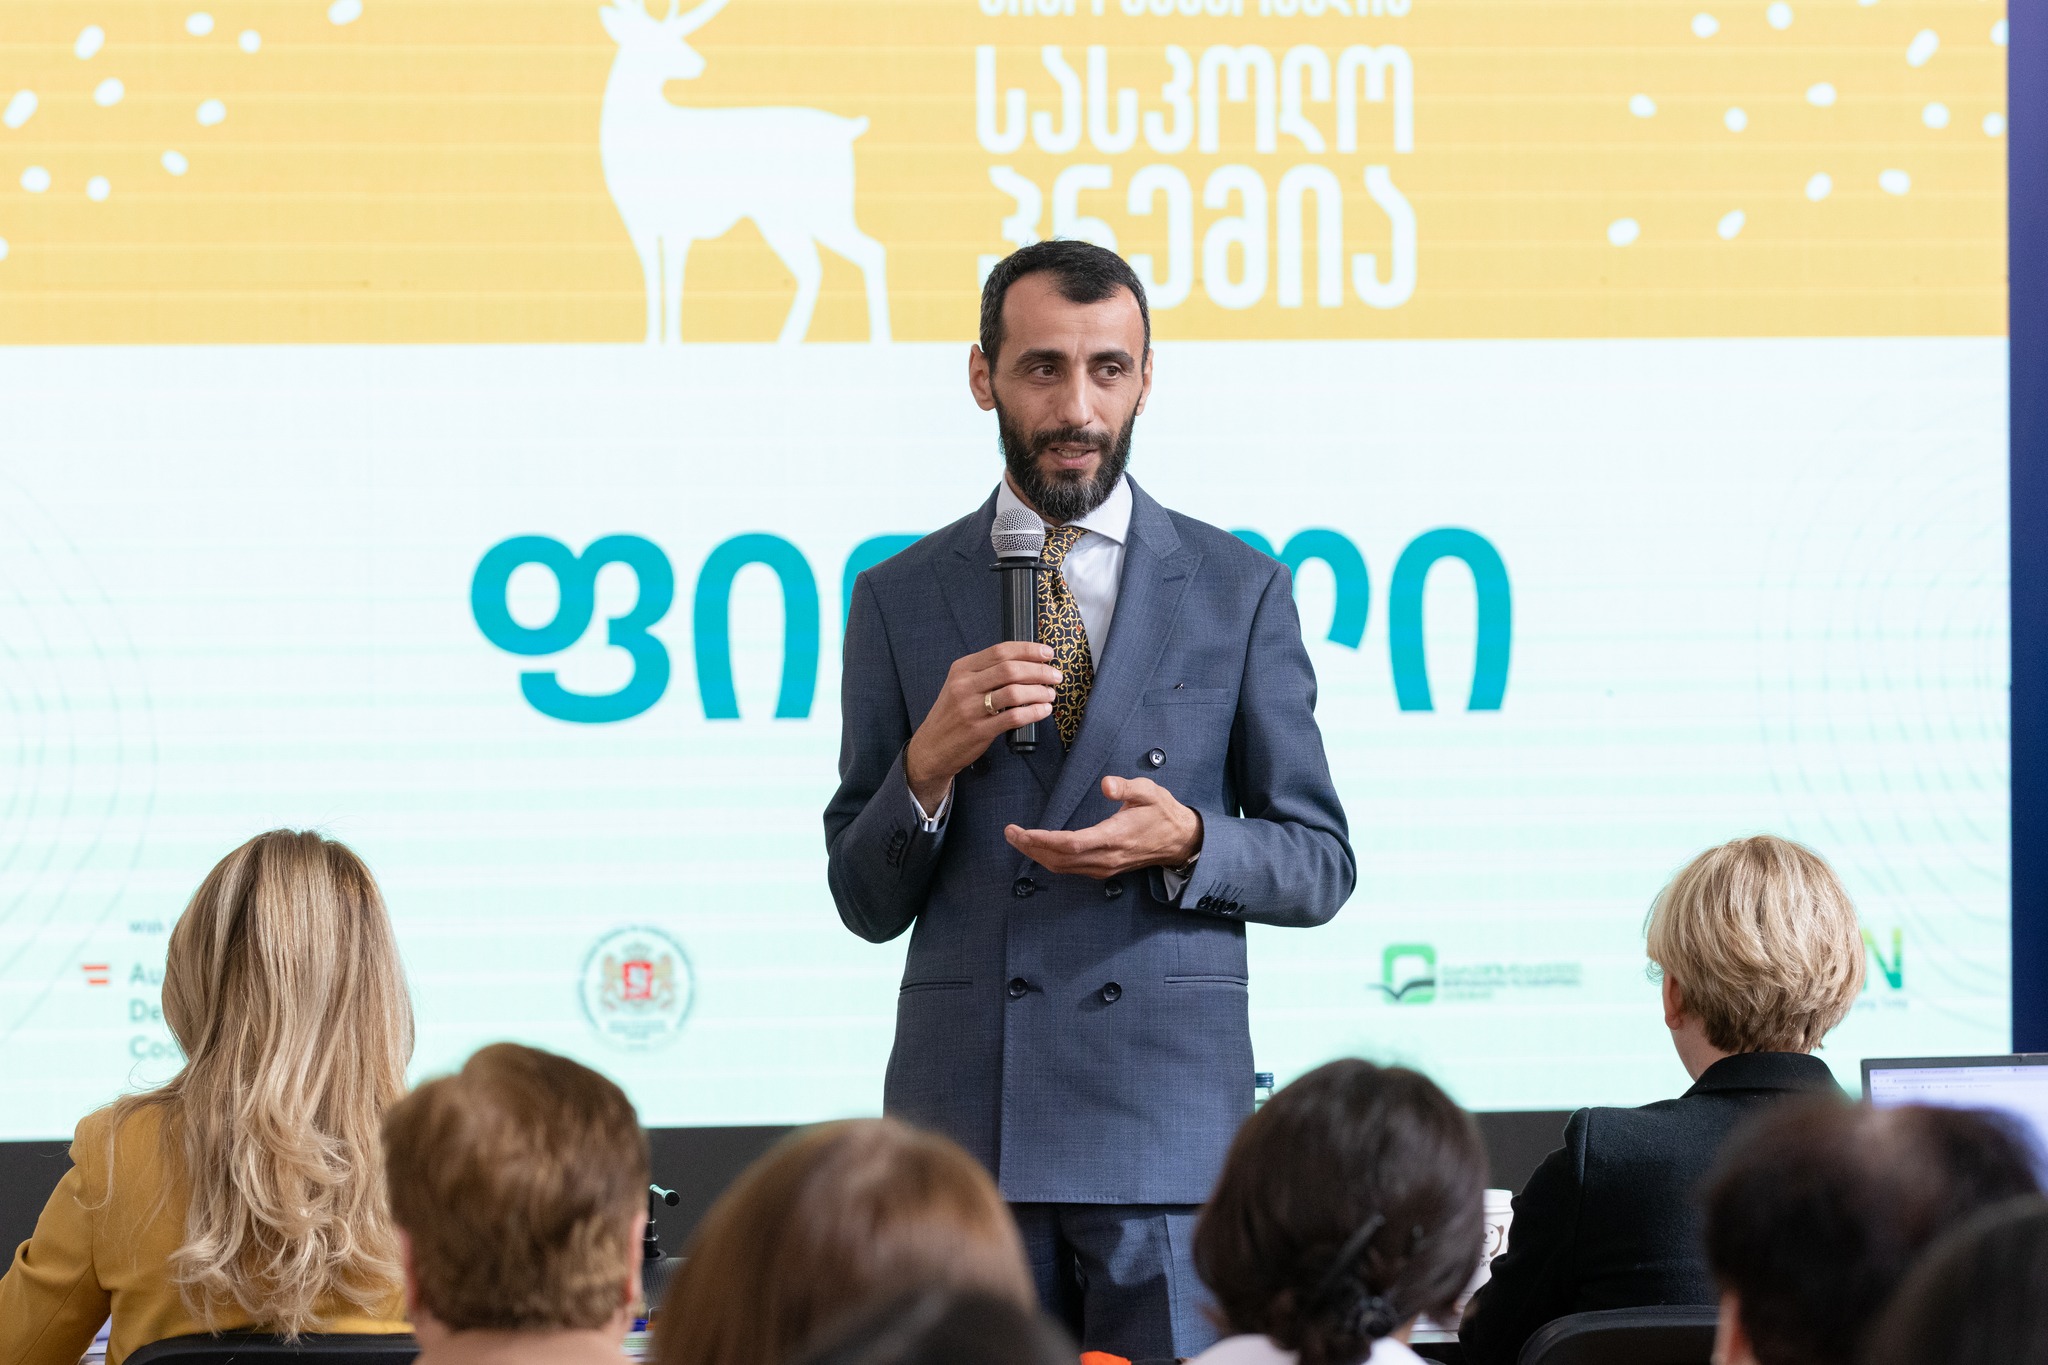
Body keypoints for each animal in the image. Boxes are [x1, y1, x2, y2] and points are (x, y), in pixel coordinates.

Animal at [599, 0, 892, 345]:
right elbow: (652, 279)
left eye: (675, 36)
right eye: (651, 38)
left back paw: (878, 337)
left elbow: (673, 280)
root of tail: (848, 129)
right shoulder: (638, 224)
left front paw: (672, 340)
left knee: (865, 252)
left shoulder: (679, 222)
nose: (699, 63)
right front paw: (650, 340)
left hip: (822, 209)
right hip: (788, 218)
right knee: (816, 267)